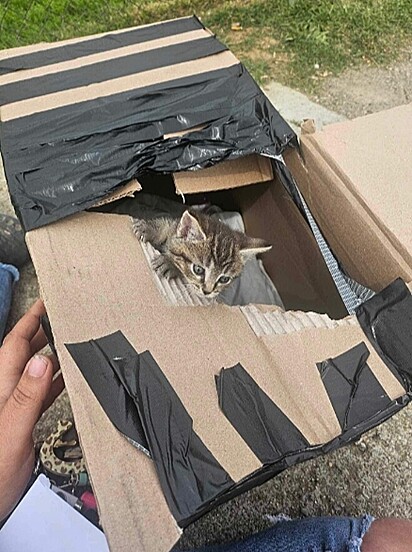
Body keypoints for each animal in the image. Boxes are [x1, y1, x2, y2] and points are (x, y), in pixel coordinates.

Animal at [134, 210, 272, 298]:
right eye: (198, 270)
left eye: (224, 279)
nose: (207, 291)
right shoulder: (174, 227)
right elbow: (166, 226)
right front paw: (148, 228)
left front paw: (169, 264)